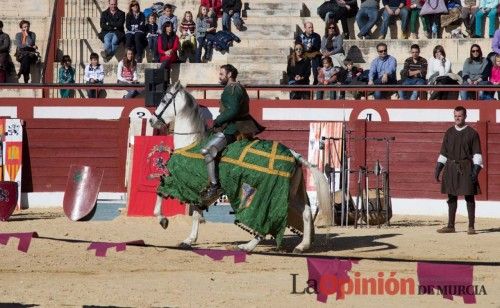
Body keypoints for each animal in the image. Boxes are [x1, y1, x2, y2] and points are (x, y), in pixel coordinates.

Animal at [148, 82, 332, 253]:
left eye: (163, 100)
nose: (151, 120)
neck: (190, 142)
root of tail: (294, 154)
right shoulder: (200, 190)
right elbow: (196, 213)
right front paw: (189, 240)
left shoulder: (181, 181)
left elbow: (160, 191)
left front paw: (163, 220)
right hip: (291, 194)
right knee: (306, 212)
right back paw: (302, 246)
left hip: (266, 195)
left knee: (266, 218)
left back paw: (248, 246)